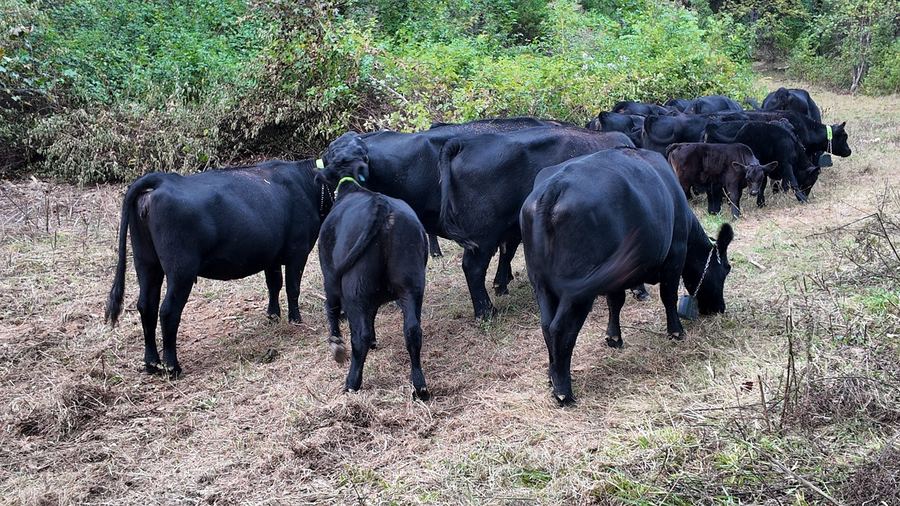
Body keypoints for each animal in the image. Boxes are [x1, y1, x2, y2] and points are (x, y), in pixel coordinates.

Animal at [104, 160, 332, 377]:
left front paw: (273, 317)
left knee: (146, 306)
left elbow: (274, 285)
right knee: (168, 311)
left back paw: (151, 363)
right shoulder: (298, 251)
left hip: (146, 263)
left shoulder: (272, 256)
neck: (306, 183)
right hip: (181, 270)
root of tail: (162, 179)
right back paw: (172, 367)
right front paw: (296, 320)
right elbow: (293, 288)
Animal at [317, 133, 430, 400]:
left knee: (359, 335)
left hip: (353, 288)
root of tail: (382, 207)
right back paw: (420, 386)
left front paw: (335, 343)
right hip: (412, 285)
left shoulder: (328, 273)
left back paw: (352, 382)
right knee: (413, 331)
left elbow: (333, 310)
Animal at [521, 147, 733, 404]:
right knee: (560, 328)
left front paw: (614, 338)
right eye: (726, 270)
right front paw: (676, 331)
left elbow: (616, 303)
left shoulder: (616, 276)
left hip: (541, 283)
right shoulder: (675, 254)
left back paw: (551, 378)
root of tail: (554, 187)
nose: (720, 308)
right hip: (578, 290)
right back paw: (563, 391)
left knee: (546, 325)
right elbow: (669, 296)